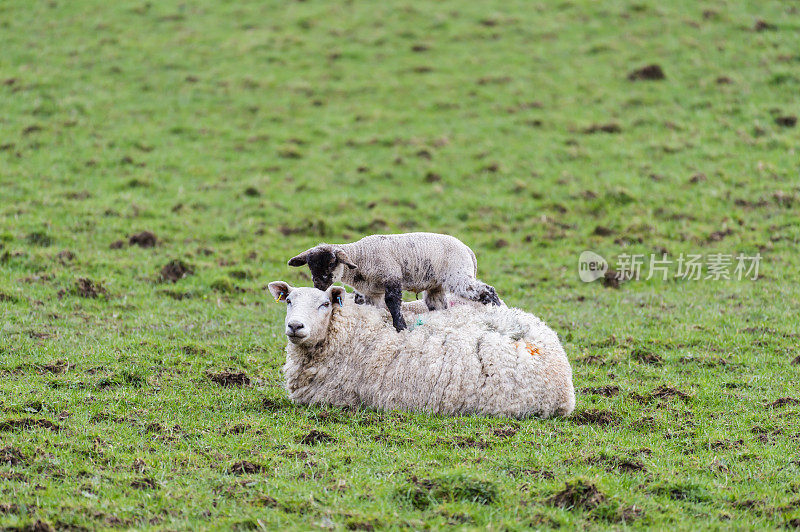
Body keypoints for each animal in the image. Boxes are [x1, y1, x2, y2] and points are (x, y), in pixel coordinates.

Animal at [288, 233, 500, 332]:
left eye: (332, 263)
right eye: (310, 265)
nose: (319, 284)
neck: (361, 256)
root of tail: (468, 251)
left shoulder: (392, 278)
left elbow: (393, 304)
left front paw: (401, 328)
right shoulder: (372, 293)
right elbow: (376, 309)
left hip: (458, 276)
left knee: (487, 290)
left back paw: (499, 311)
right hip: (436, 286)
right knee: (439, 304)